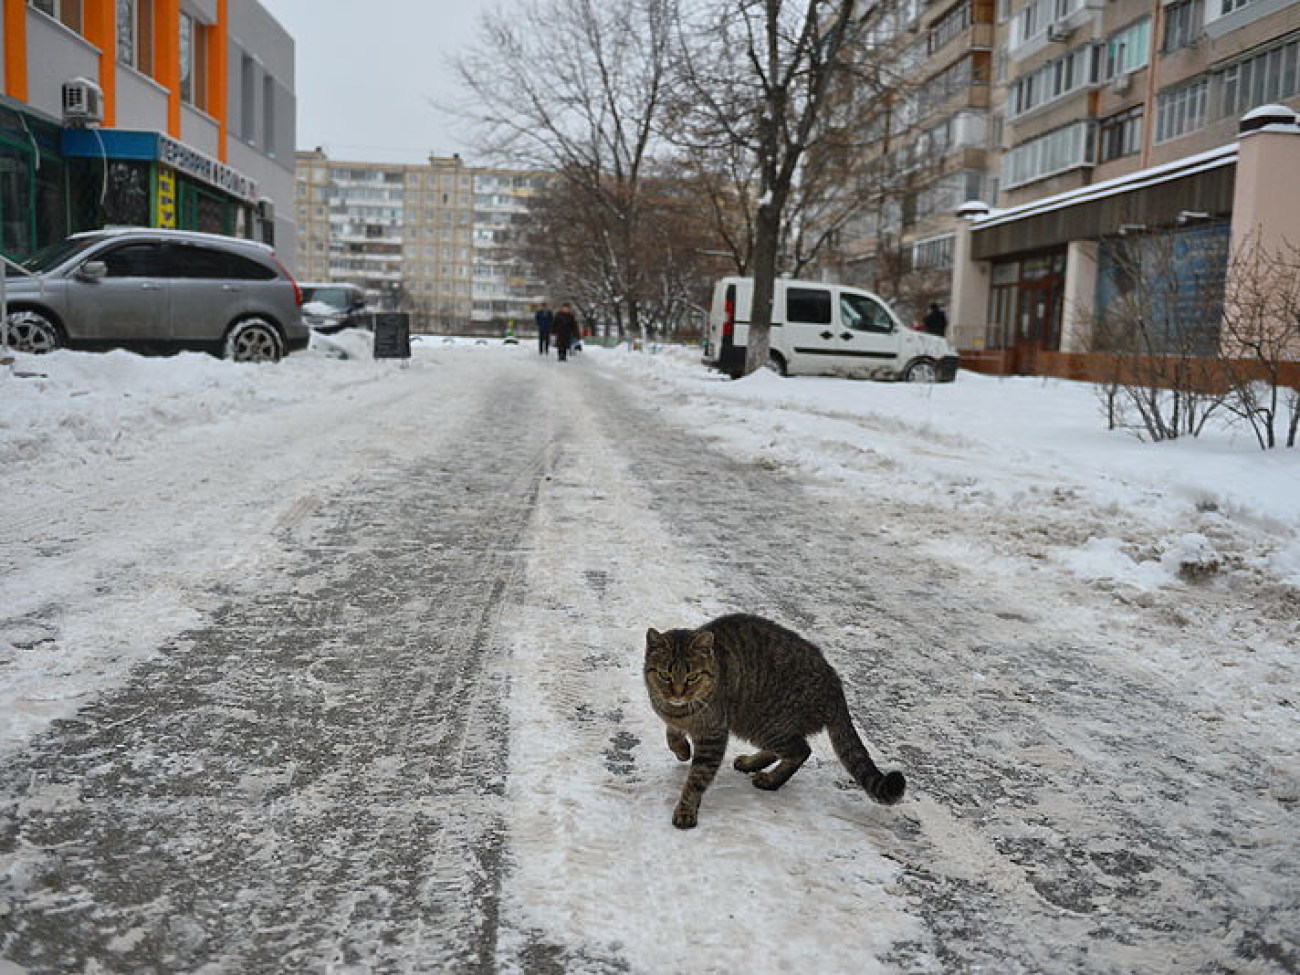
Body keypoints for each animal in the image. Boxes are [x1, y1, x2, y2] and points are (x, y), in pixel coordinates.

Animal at [639, 613, 904, 826]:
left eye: (692, 676)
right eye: (664, 675)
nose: (677, 693)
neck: (680, 711)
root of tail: (836, 685)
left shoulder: (713, 735)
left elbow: (696, 779)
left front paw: (686, 810)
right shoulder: (673, 717)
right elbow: (672, 734)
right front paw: (682, 750)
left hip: (765, 723)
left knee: (801, 750)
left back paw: (770, 780)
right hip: (764, 725)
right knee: (789, 748)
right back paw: (751, 763)